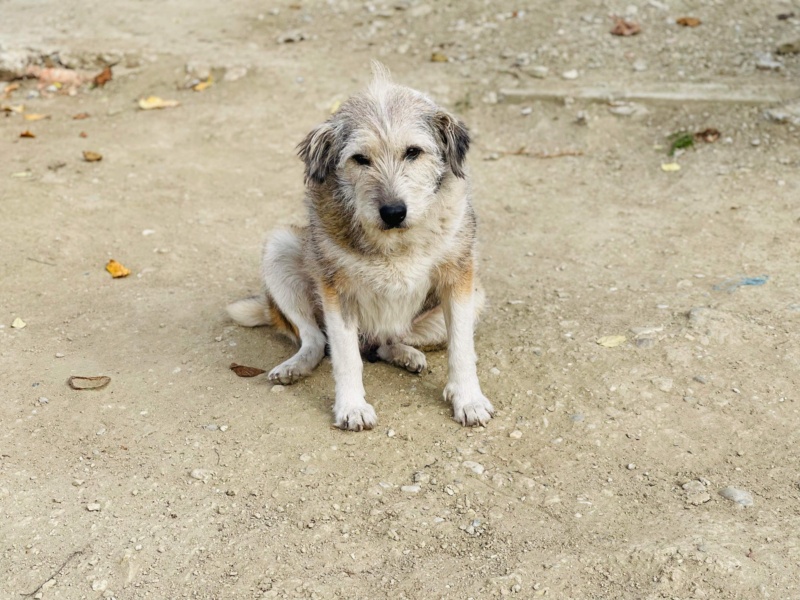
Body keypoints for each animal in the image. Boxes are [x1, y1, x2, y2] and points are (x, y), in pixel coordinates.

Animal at [227, 63, 494, 432]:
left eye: (413, 152)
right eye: (360, 159)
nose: (393, 212)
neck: (395, 242)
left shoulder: (459, 279)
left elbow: (462, 350)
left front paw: (468, 399)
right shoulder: (337, 292)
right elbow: (345, 355)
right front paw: (351, 406)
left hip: (469, 301)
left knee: (386, 343)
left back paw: (407, 355)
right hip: (281, 248)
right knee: (316, 340)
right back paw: (295, 367)